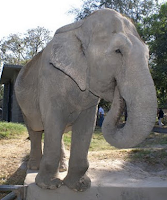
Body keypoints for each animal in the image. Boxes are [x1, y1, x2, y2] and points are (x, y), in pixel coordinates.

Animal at [14, 9, 157, 192]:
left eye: (148, 54)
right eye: (118, 51)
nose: (117, 90)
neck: (79, 27)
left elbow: (86, 127)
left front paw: (79, 186)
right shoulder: (49, 79)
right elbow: (53, 121)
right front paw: (50, 186)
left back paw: (61, 168)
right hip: (22, 104)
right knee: (35, 130)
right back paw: (34, 167)